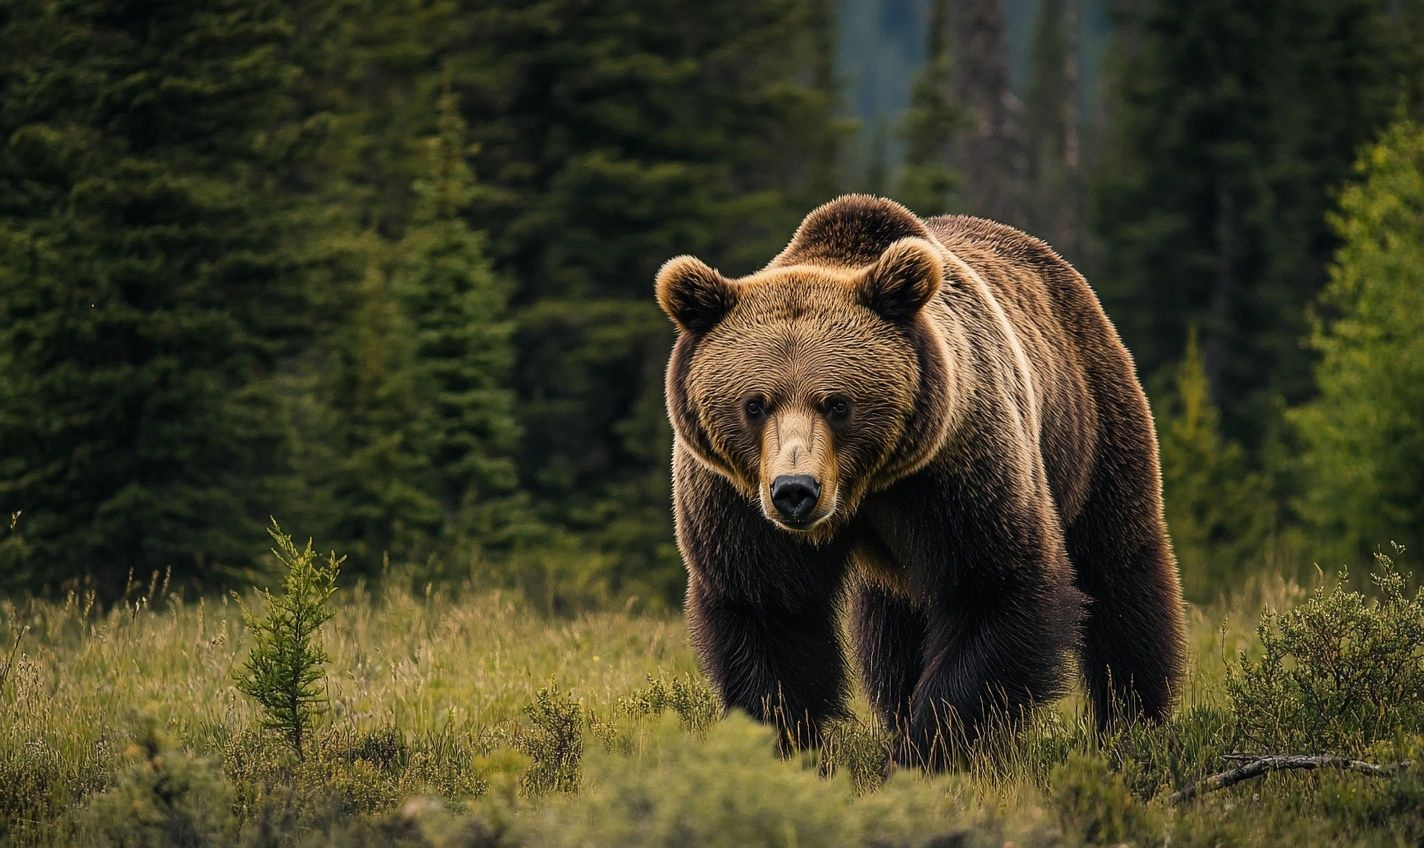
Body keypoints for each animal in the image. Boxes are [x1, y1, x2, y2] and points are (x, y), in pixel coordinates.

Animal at [655, 194, 1190, 762]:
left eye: (838, 403)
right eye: (755, 404)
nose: (795, 492)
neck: (866, 487)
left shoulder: (960, 467)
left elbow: (994, 587)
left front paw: (927, 749)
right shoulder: (735, 497)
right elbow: (766, 609)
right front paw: (787, 741)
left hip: (1091, 419)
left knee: (1118, 573)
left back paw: (1132, 722)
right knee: (891, 626)